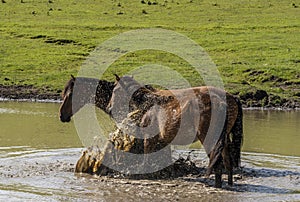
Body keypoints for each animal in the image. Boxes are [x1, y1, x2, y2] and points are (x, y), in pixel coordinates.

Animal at [106, 74, 243, 188]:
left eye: (115, 90)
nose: (109, 109)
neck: (148, 103)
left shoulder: (149, 138)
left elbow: (147, 157)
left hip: (209, 139)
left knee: (217, 163)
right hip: (224, 139)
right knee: (228, 162)